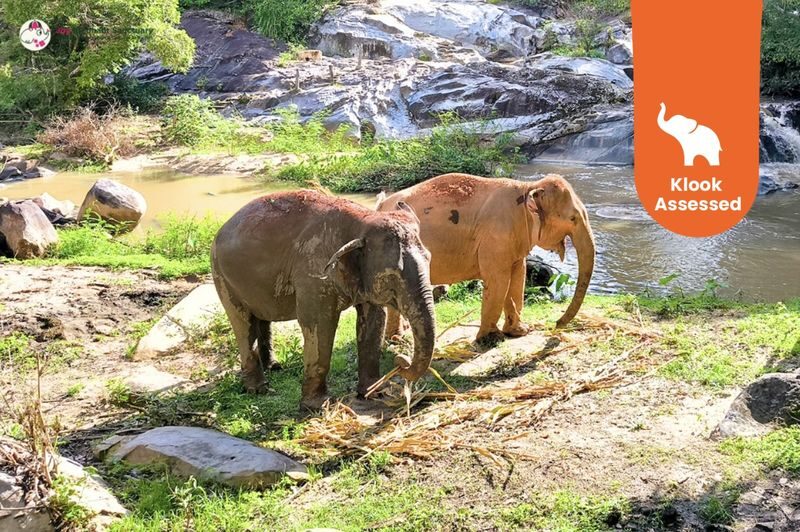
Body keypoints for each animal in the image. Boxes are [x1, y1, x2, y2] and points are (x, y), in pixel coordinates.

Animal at [211, 190, 436, 410]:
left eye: (430, 258)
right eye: (393, 275)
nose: (401, 361)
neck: (363, 221)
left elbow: (374, 319)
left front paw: (374, 393)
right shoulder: (313, 273)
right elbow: (320, 324)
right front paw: (318, 406)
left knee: (261, 317)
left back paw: (273, 366)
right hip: (222, 276)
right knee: (242, 323)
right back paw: (258, 389)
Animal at [376, 173, 595, 342]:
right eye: (572, 218)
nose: (556, 324)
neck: (528, 188)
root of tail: (380, 205)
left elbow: (518, 277)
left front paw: (519, 332)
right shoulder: (495, 237)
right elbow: (498, 281)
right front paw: (491, 339)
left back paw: (401, 334)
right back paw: (397, 339)